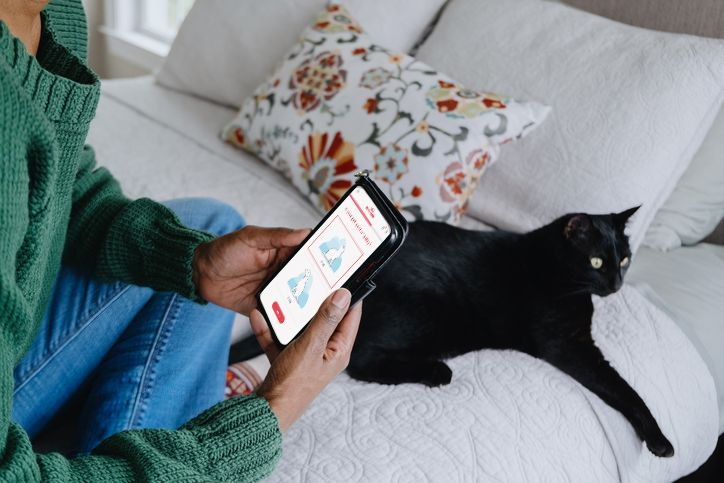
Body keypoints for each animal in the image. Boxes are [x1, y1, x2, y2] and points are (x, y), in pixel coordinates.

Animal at [348, 208, 676, 458]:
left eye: (624, 260)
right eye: (596, 261)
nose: (617, 284)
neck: (552, 268)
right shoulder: (570, 345)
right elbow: (623, 388)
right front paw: (660, 439)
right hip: (431, 313)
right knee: (360, 360)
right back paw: (438, 371)